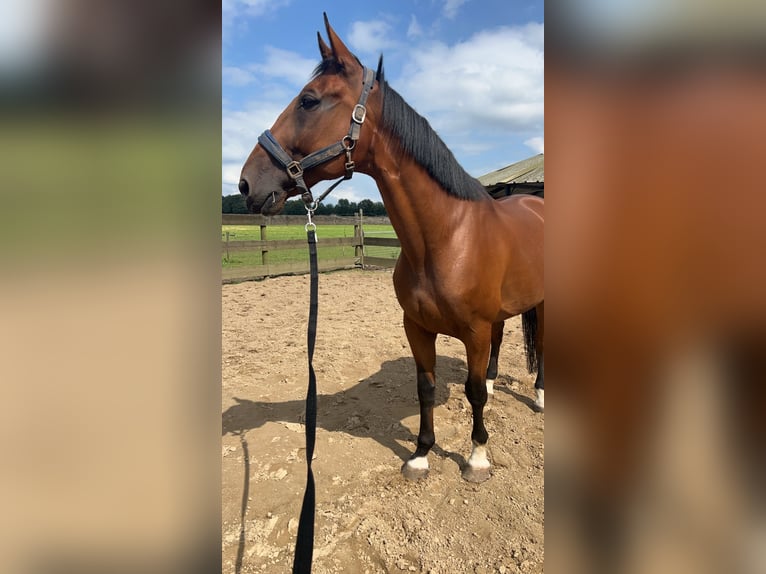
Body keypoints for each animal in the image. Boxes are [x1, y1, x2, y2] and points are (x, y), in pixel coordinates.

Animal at [240, 13, 544, 484]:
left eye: (309, 101)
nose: (246, 184)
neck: (446, 239)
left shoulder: (473, 330)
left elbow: (472, 392)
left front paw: (477, 456)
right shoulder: (417, 328)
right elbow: (426, 386)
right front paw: (420, 454)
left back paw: (542, 396)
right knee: (498, 344)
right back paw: (497, 384)